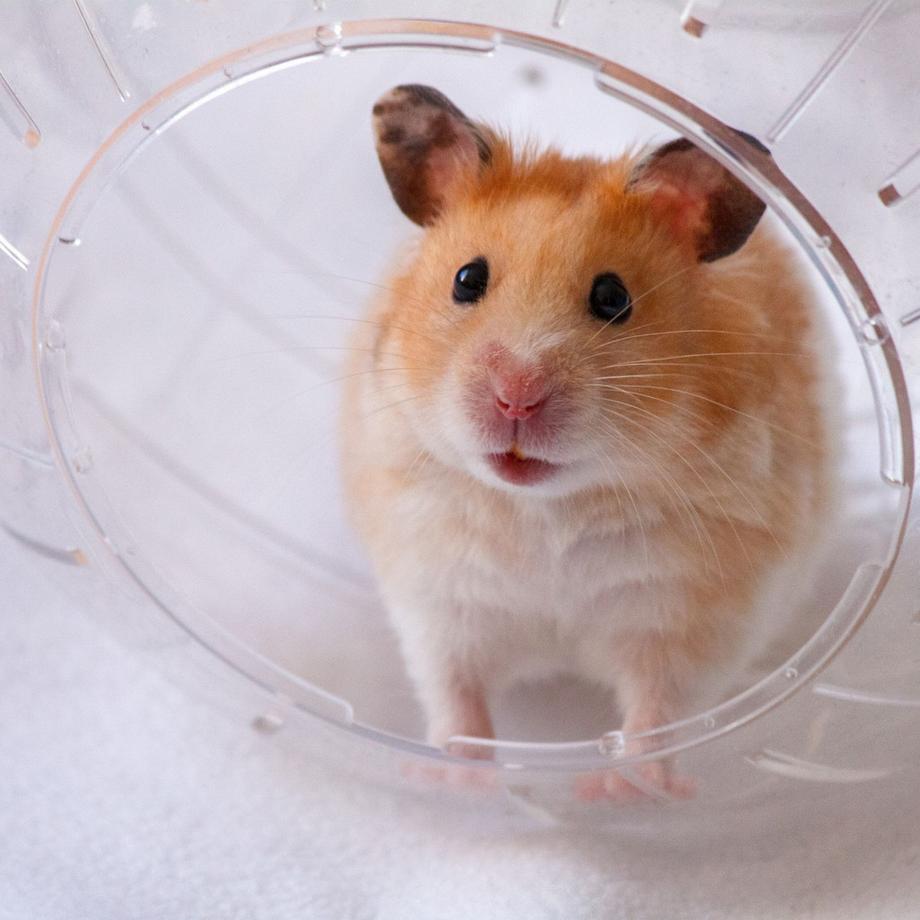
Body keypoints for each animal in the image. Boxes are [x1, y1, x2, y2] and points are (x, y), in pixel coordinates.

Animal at [340, 84, 832, 799]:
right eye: (467, 279)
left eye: (612, 297)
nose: (516, 396)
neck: (547, 505)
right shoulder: (439, 596)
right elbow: (456, 695)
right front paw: (455, 780)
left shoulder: (687, 616)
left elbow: (657, 710)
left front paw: (624, 790)